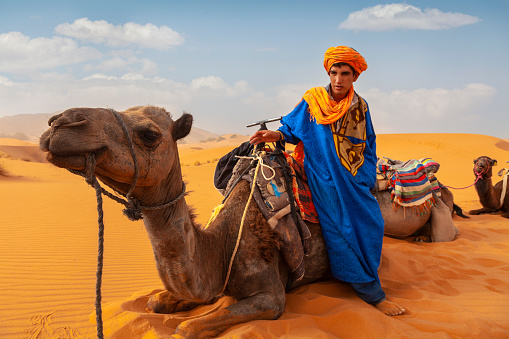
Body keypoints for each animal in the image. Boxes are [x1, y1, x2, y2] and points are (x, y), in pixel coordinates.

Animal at [39, 105, 458, 338]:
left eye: (149, 134)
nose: (59, 123)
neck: (221, 245)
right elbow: (159, 302)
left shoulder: (271, 296)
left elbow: (187, 327)